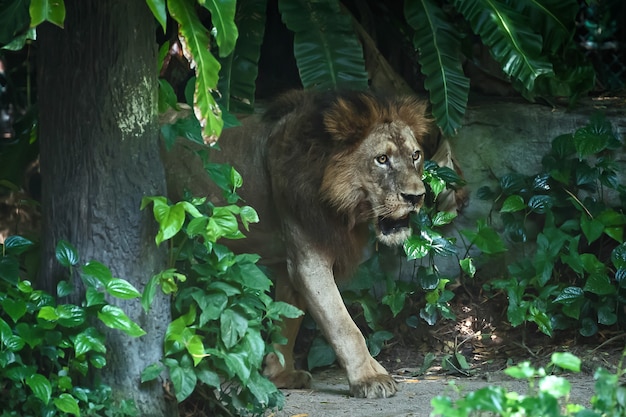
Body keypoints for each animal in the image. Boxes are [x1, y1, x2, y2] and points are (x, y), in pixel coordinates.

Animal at [163, 90, 432, 396]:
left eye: (415, 155)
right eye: (382, 159)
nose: (416, 196)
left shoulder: (290, 264)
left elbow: (286, 321)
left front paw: (279, 375)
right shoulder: (309, 261)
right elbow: (344, 326)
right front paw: (369, 378)